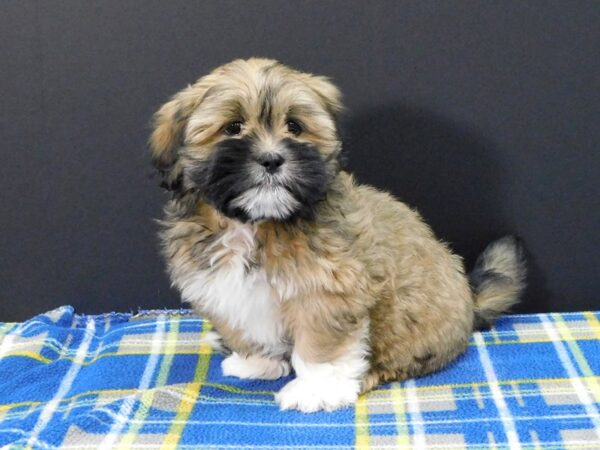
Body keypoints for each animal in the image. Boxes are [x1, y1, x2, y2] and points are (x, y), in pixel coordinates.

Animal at [149, 58, 524, 414]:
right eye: (233, 128)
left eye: (294, 127)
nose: (272, 159)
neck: (258, 224)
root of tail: (470, 303)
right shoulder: (225, 289)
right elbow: (243, 326)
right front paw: (256, 361)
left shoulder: (327, 290)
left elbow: (320, 347)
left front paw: (317, 390)